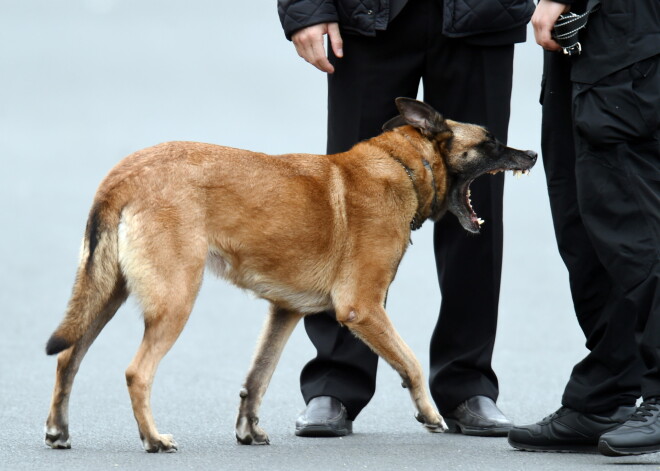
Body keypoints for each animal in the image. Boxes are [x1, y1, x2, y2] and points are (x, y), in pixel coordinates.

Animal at [45, 98, 536, 454]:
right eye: (491, 142)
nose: (531, 153)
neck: (402, 164)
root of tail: (123, 175)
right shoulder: (363, 308)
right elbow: (411, 361)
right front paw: (430, 414)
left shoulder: (284, 312)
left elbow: (256, 379)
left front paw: (248, 432)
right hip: (175, 301)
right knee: (136, 372)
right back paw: (153, 438)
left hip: (105, 297)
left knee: (68, 358)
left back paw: (58, 431)